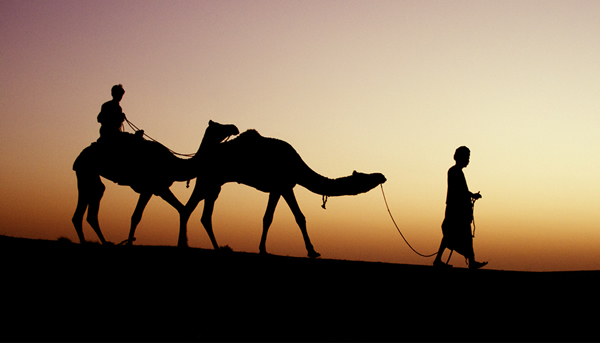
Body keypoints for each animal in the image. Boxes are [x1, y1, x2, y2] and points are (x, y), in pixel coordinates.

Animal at [184, 121, 390, 258]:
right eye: (366, 177)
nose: (382, 176)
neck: (297, 165)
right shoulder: (283, 185)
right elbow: (295, 217)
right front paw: (312, 251)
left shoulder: (279, 188)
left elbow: (271, 218)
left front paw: (263, 249)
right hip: (208, 179)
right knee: (189, 208)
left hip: (214, 183)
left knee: (202, 213)